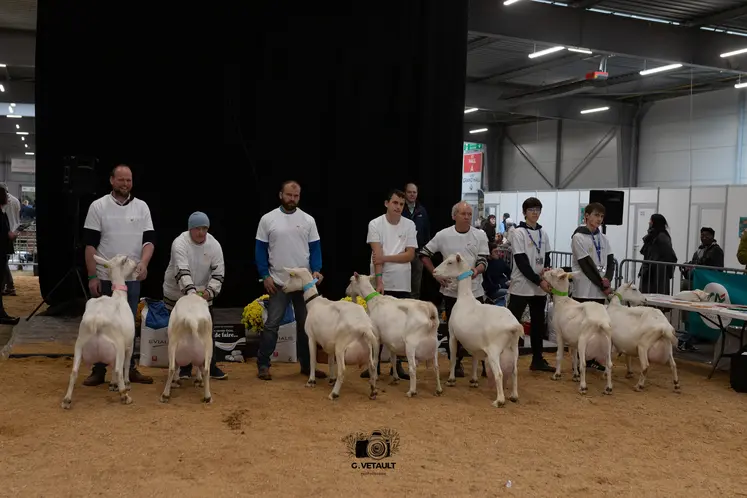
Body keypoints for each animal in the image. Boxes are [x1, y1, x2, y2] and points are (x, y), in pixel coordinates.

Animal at [61, 255, 139, 410]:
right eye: (128, 261)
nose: (137, 265)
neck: (119, 295)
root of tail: (96, 319)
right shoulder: (129, 344)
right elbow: (126, 365)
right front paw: (126, 384)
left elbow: (113, 366)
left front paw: (113, 385)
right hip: (118, 345)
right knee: (118, 369)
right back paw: (125, 396)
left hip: (79, 344)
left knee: (74, 371)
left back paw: (67, 400)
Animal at [282, 264, 380, 400]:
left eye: (291, 276)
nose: (283, 288)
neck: (314, 303)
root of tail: (364, 326)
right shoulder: (329, 343)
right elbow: (330, 361)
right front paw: (331, 379)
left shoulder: (311, 337)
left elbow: (313, 360)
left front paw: (311, 381)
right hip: (367, 348)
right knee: (372, 367)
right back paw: (373, 391)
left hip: (341, 347)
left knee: (343, 370)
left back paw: (334, 394)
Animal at [432, 253, 520, 408]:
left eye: (450, 262)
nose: (434, 272)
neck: (465, 298)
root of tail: (513, 326)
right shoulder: (474, 343)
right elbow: (474, 359)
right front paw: (473, 380)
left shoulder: (452, 335)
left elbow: (453, 358)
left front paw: (451, 380)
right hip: (514, 348)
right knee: (515, 371)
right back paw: (514, 396)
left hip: (494, 350)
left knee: (499, 374)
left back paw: (499, 401)